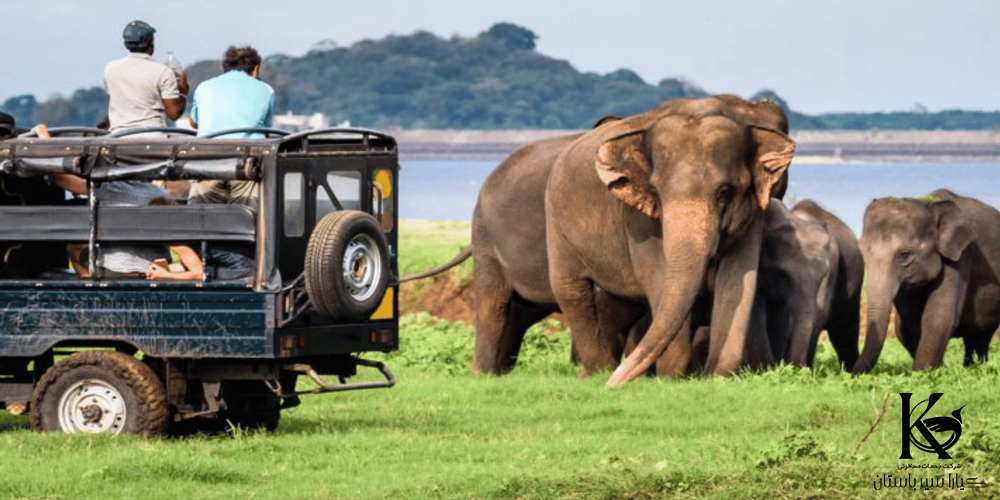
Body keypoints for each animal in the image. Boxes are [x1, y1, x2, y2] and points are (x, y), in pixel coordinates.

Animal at [548, 97, 796, 386]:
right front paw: (670, 378)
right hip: (556, 223)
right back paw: (600, 372)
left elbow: (739, 279)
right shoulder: (638, 219)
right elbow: (658, 275)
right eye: (655, 192)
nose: (612, 387)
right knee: (571, 290)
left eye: (724, 192)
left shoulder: (753, 212)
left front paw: (715, 376)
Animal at [752, 198, 864, 368]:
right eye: (782, 274)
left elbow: (818, 315)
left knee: (844, 336)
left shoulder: (833, 264)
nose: (791, 365)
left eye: (823, 276)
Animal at [852, 189, 1000, 374]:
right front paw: (938, 370)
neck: (928, 203)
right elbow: (906, 326)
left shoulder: (961, 255)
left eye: (904, 254)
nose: (848, 372)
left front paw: (926, 373)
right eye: (861, 252)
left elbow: (938, 317)